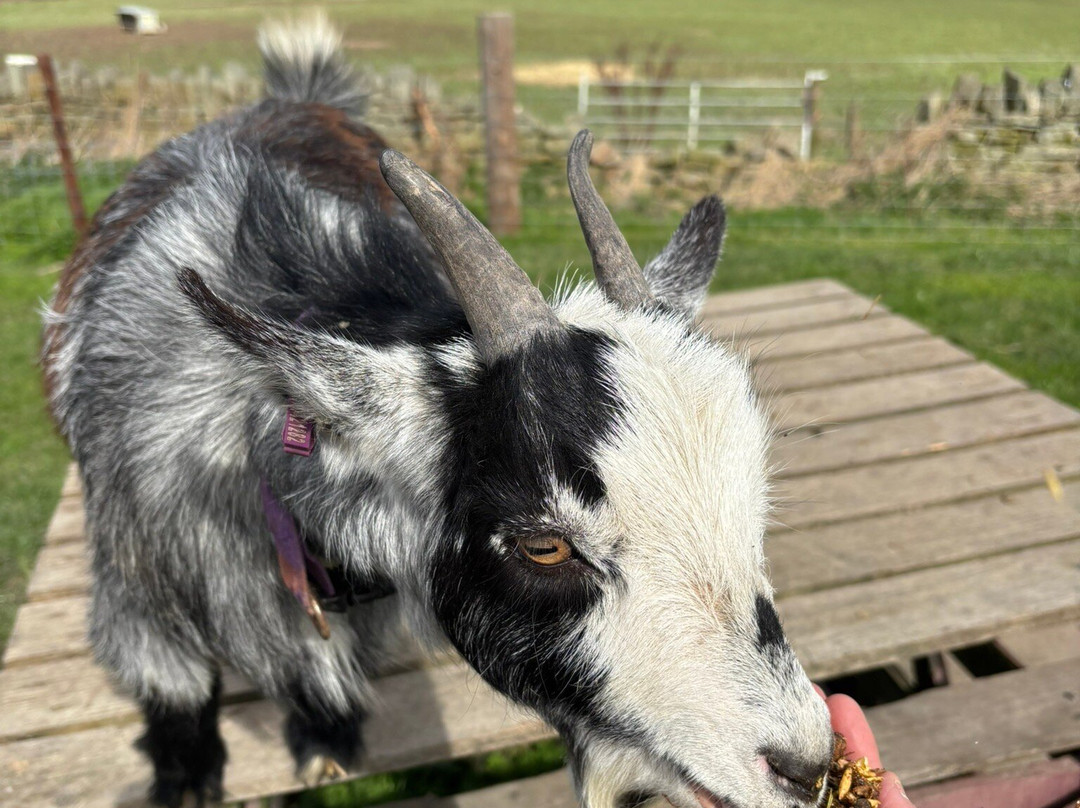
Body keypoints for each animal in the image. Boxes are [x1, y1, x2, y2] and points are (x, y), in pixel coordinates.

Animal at [43, 16, 831, 808]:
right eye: (544, 545)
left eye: (754, 504)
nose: (805, 765)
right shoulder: (136, 590)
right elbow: (173, 692)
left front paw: (326, 737)